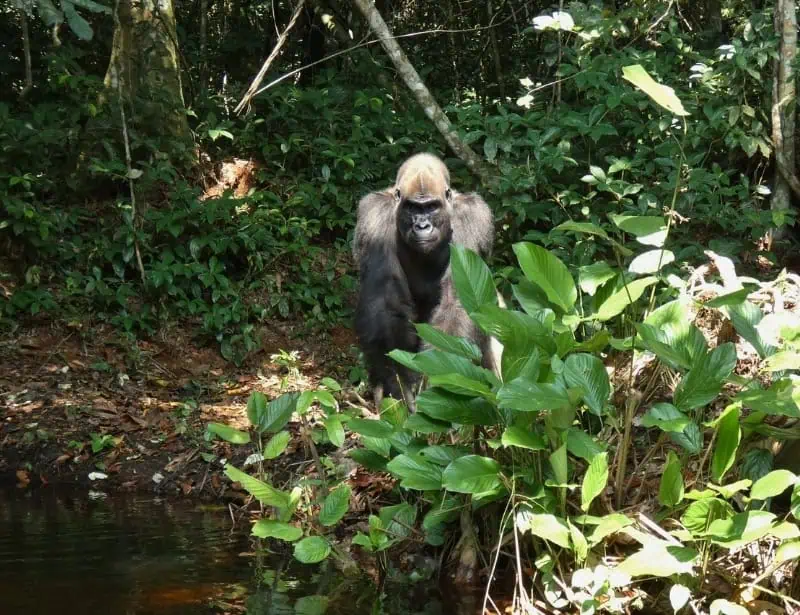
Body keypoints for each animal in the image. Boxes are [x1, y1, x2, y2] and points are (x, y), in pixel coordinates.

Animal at [352, 153, 499, 412]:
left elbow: (457, 301)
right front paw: (397, 383)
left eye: (431, 207)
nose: (422, 226)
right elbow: (385, 302)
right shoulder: (374, 217)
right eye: (413, 207)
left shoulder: (472, 217)